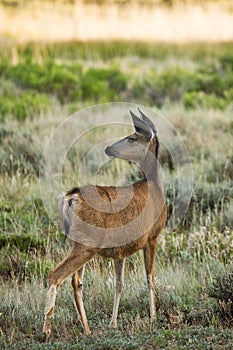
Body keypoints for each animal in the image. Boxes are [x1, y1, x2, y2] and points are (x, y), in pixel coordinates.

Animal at [42, 108, 167, 336]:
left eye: (132, 137)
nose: (109, 149)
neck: (155, 187)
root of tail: (70, 198)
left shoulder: (120, 252)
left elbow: (119, 283)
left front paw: (113, 322)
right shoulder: (152, 237)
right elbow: (150, 277)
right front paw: (153, 317)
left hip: (76, 242)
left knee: (76, 282)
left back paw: (87, 328)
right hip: (86, 244)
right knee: (56, 275)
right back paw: (47, 330)